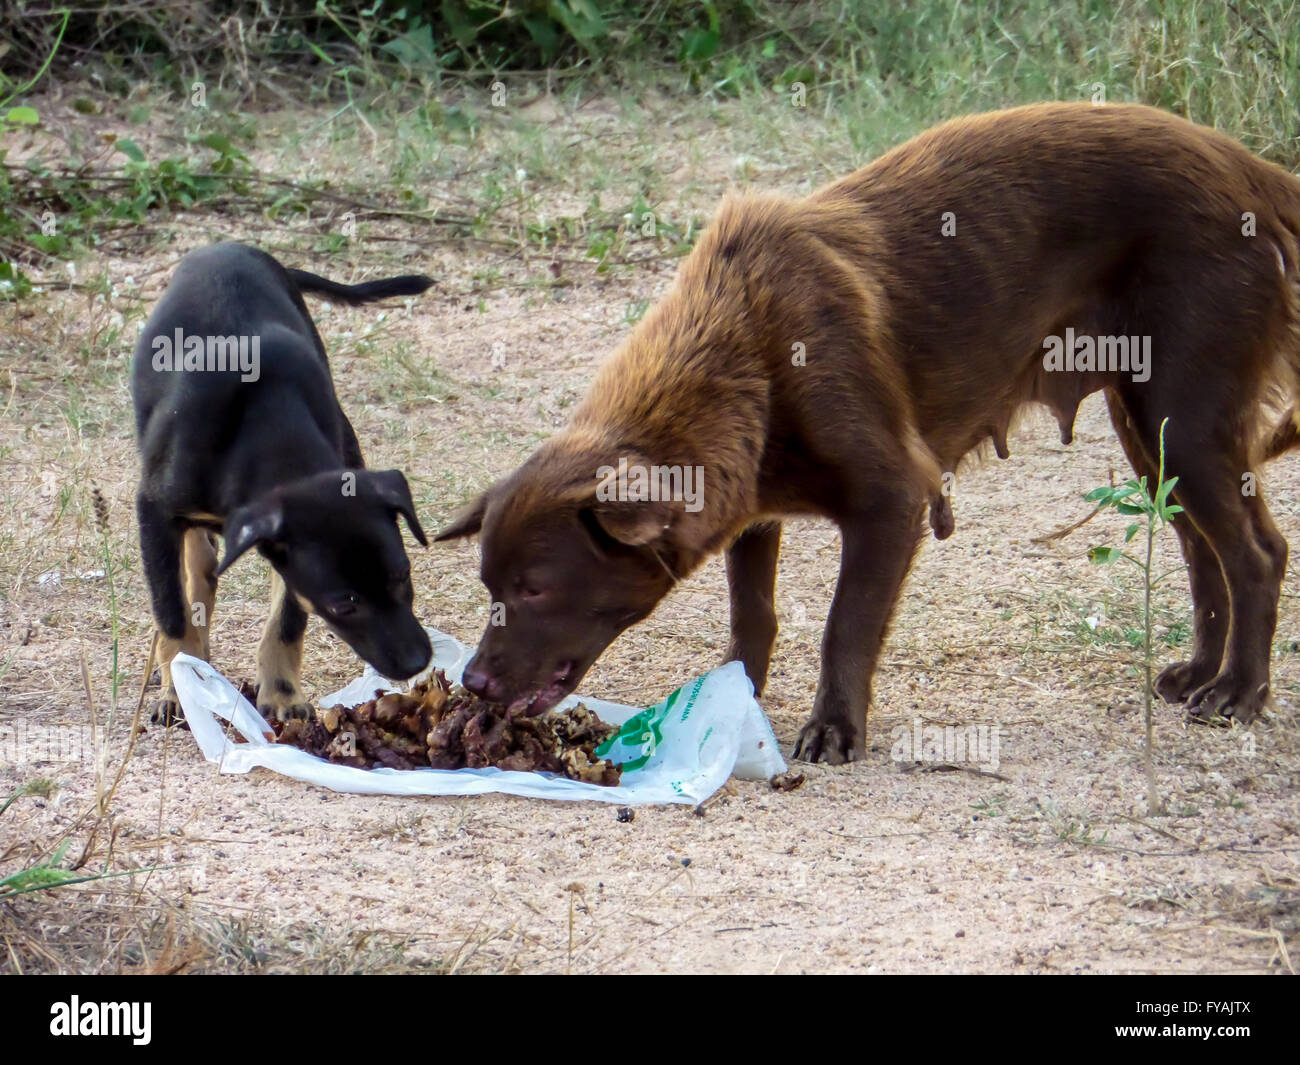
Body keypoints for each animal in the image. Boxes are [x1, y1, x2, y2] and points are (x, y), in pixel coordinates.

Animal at [133, 243, 436, 723]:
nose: (417, 662)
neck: (262, 427)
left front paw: (281, 695)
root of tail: (230, 245)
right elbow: (171, 612)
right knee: (194, 569)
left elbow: (286, 622)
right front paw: (181, 687)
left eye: (402, 574)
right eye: (344, 603)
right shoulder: (154, 512)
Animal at [436, 104, 1300, 764]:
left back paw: (1238, 694)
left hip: (1185, 414)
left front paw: (833, 728)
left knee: (1256, 551)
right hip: (1147, 423)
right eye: (489, 587)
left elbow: (843, 625)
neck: (744, 345)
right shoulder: (752, 509)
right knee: (1201, 548)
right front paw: (730, 703)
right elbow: (754, 616)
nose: (472, 682)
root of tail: (1251, 169)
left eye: (534, 587)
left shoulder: (893, 499)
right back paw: (1199, 671)